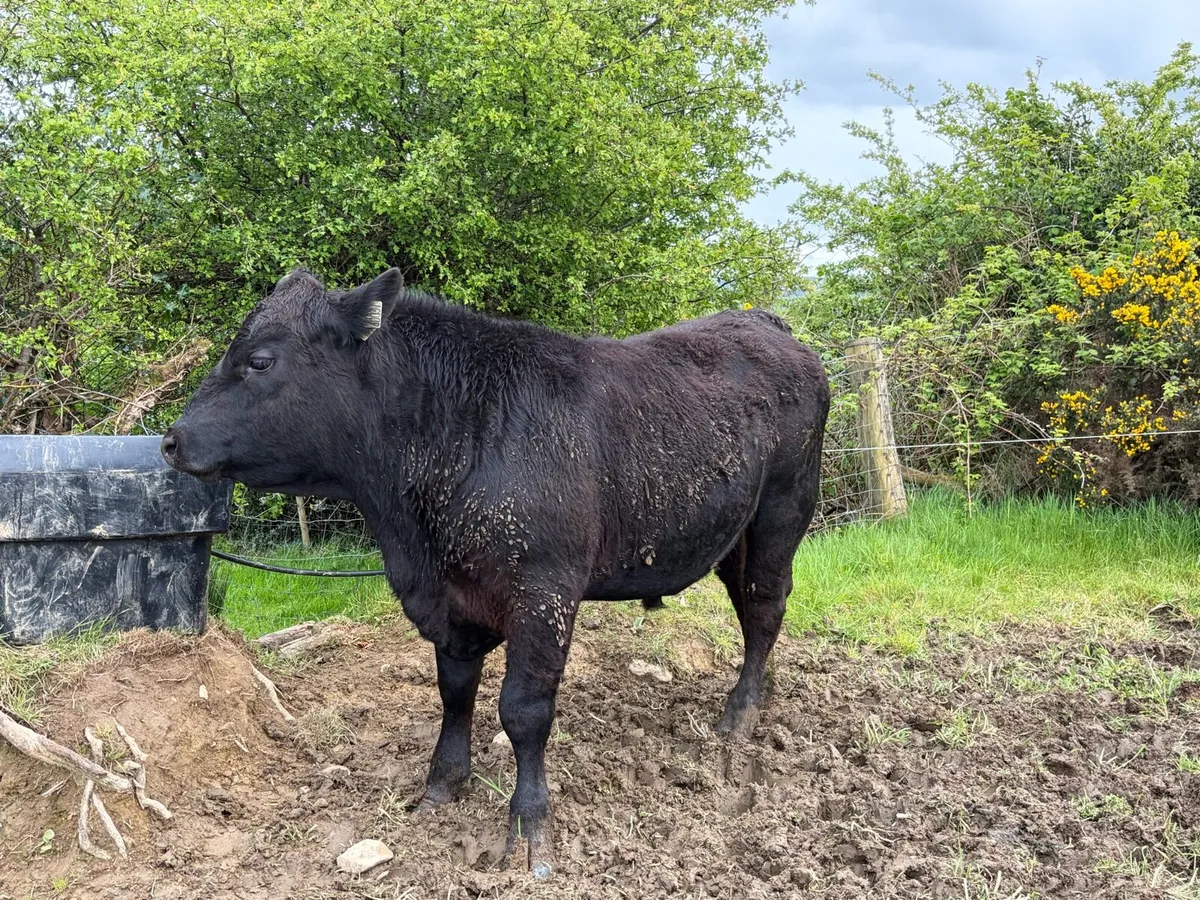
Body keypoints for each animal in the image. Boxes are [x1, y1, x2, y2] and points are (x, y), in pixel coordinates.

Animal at [162, 268, 830, 877]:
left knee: (765, 608)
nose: (171, 440)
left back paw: (739, 716)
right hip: (732, 535)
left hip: (782, 513)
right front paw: (441, 785)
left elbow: (523, 711)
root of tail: (765, 322)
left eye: (260, 360)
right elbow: (456, 691)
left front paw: (531, 827)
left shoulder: (543, 591)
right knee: (751, 611)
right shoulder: (451, 599)